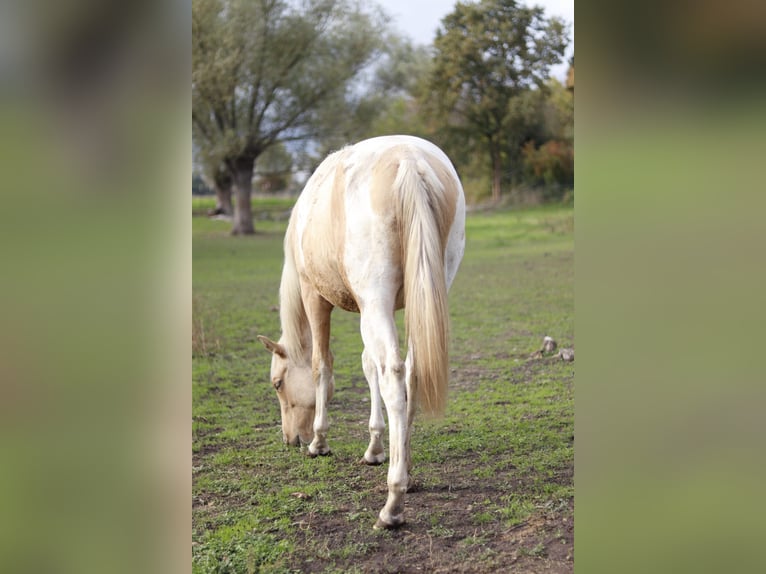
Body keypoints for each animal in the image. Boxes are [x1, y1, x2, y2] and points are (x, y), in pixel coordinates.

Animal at [258, 135, 464, 532]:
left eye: (277, 384)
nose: (291, 439)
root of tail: (409, 161)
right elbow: (369, 367)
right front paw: (375, 448)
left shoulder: (315, 298)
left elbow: (322, 367)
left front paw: (319, 442)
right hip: (420, 296)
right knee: (410, 372)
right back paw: (406, 470)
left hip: (374, 303)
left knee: (395, 378)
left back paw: (393, 503)